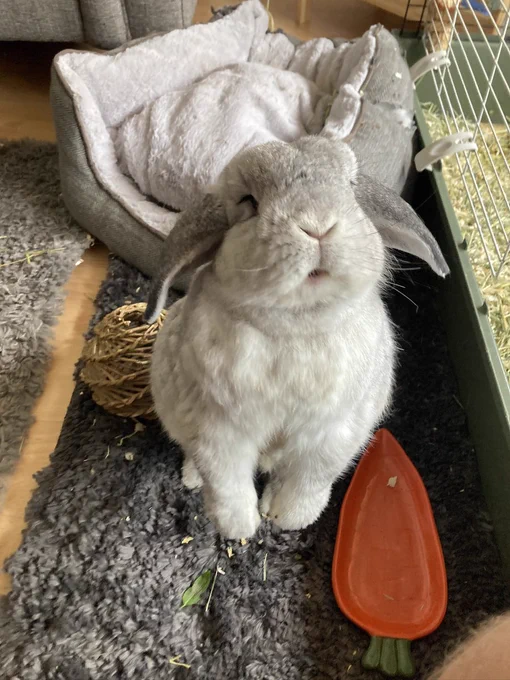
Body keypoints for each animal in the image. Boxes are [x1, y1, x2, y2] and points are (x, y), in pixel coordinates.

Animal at [146, 135, 449, 539]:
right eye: (249, 202)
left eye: (350, 187)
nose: (318, 226)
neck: (297, 326)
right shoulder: (219, 432)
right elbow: (227, 484)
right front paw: (241, 529)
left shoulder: (331, 435)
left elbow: (311, 479)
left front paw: (285, 518)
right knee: (198, 461)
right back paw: (192, 480)